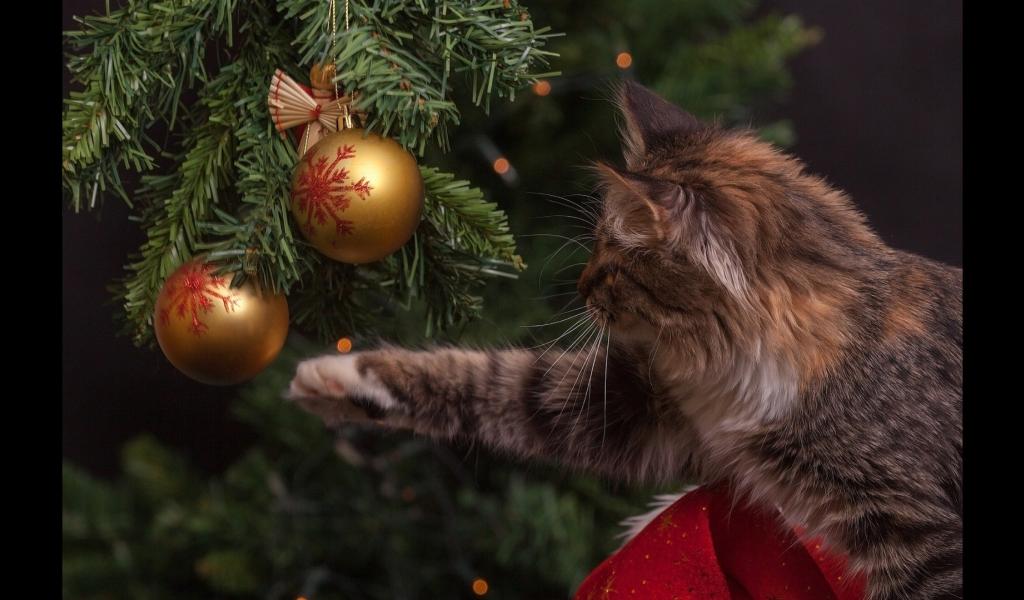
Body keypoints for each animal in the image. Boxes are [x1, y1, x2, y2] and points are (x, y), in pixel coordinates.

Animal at [286, 80, 958, 597]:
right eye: (595, 246)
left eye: (613, 261)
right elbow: (492, 382)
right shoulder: (643, 408)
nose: (580, 288)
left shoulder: (923, 535)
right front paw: (340, 378)